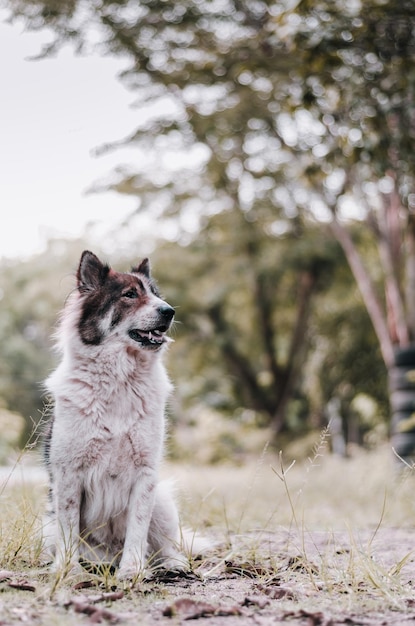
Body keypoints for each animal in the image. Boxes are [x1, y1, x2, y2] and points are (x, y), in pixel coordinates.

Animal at [43, 249, 199, 576]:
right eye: (130, 295)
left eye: (156, 295)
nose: (169, 311)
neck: (119, 379)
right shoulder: (68, 475)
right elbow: (68, 529)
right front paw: (68, 571)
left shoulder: (146, 474)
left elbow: (138, 529)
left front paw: (132, 571)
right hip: (47, 522)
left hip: (162, 500)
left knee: (165, 545)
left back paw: (173, 564)